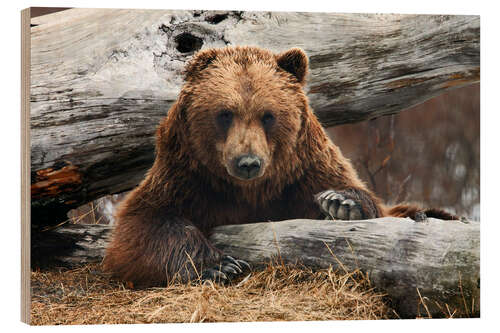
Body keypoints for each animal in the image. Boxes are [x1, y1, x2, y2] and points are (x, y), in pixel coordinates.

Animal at [102, 46, 458, 286]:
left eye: (268, 115)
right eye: (225, 113)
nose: (248, 162)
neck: (249, 191)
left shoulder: (303, 172)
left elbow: (362, 198)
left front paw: (341, 203)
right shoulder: (187, 177)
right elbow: (142, 226)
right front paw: (219, 265)